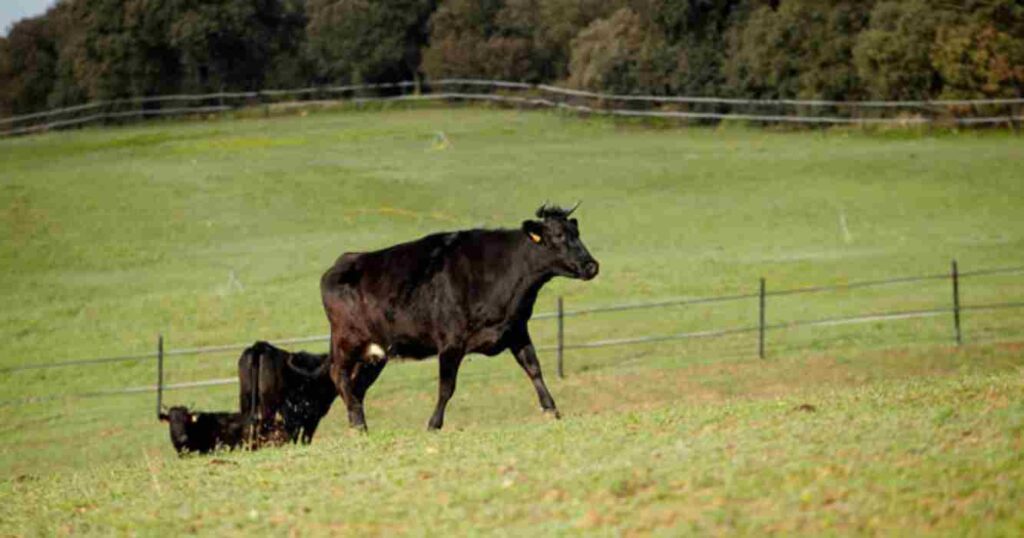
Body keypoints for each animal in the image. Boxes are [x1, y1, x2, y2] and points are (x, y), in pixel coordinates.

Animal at [321, 203, 598, 430]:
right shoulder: (451, 342)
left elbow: (534, 369)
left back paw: (359, 423)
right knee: (339, 376)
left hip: (375, 353)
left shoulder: (516, 330)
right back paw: (358, 423)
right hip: (347, 341)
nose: (591, 266)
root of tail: (343, 261)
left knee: (356, 387)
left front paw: (552, 409)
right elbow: (447, 387)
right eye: (559, 236)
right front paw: (434, 424)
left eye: (577, 234)